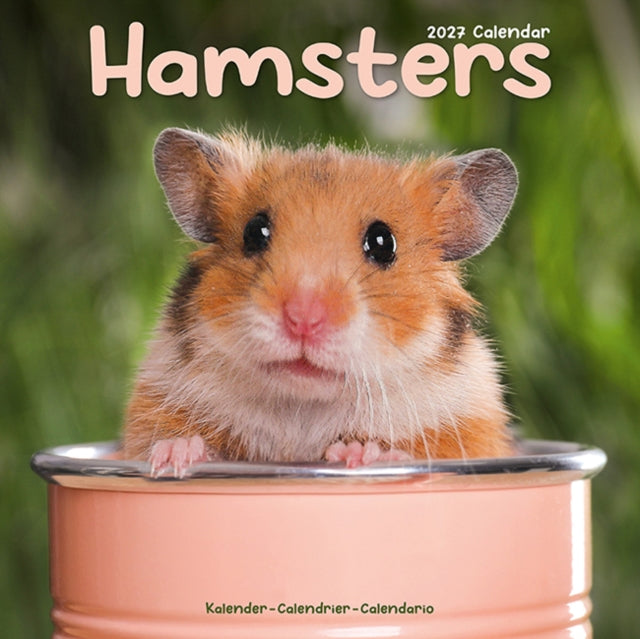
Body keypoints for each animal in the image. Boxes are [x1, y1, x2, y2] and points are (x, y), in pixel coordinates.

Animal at [122, 127, 518, 476]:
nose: (303, 320)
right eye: (254, 232)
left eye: (383, 243)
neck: (304, 406)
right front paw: (172, 456)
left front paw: (361, 454)